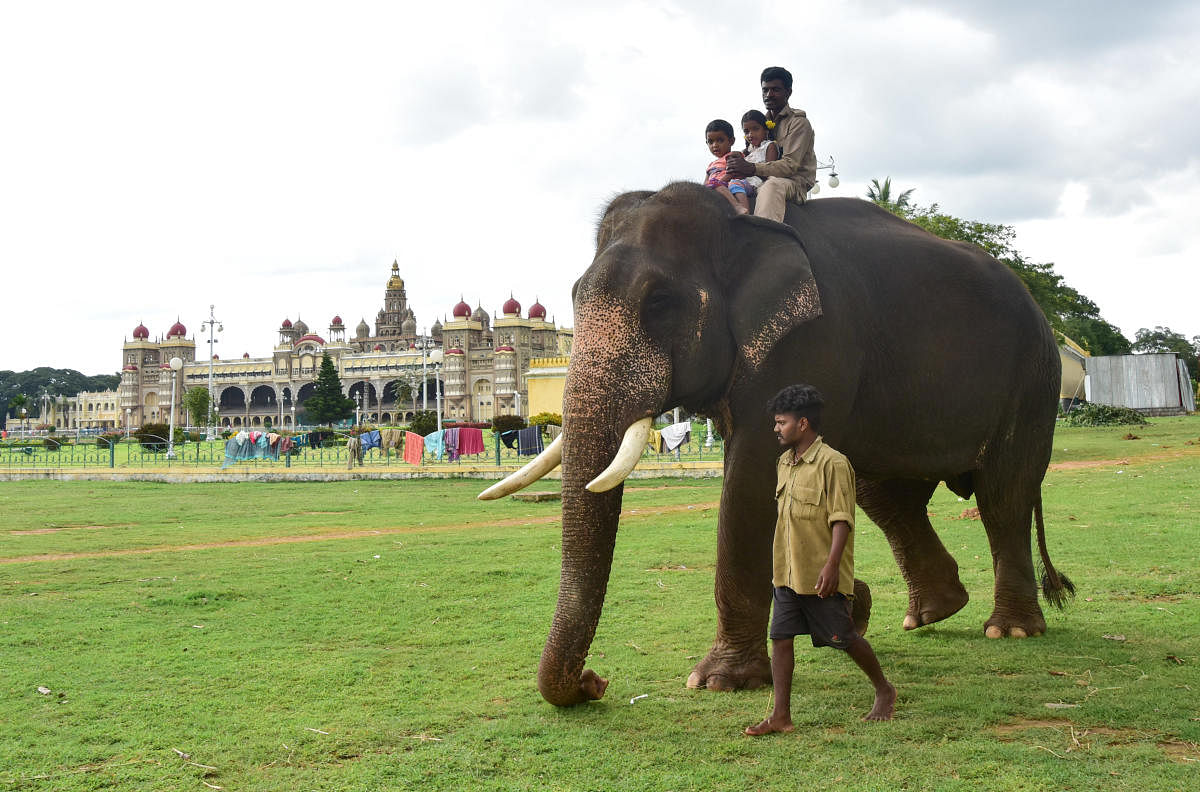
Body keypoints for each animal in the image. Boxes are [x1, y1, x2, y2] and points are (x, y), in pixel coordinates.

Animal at [482, 183, 1075, 705]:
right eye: (574, 298)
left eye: (661, 303)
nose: (595, 682)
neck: (737, 223)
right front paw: (845, 613)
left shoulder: (809, 341)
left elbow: (750, 479)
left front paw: (720, 682)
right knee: (888, 497)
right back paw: (930, 613)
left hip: (1033, 381)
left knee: (1003, 496)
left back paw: (1010, 630)